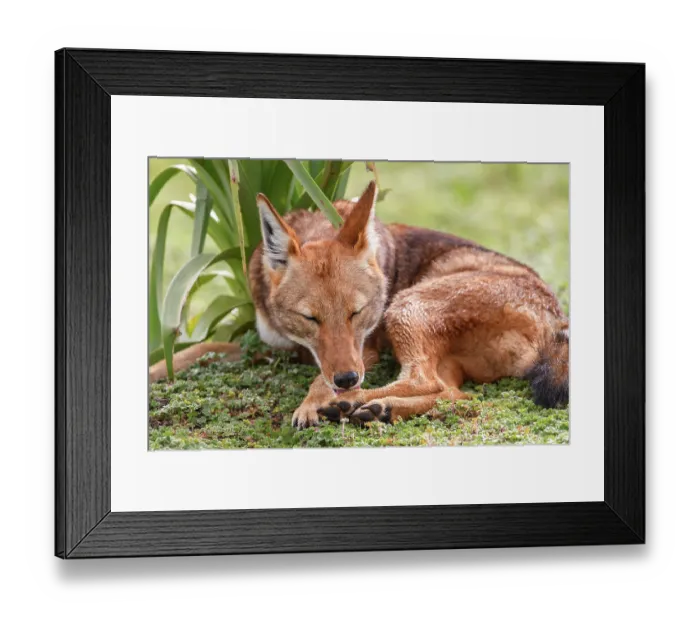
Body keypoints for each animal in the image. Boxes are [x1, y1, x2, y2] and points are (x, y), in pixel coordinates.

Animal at [150, 181, 569, 429]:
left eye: (357, 312)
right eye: (310, 319)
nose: (348, 378)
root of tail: (557, 321)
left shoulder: (364, 351)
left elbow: (321, 378)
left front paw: (312, 404)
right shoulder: (276, 348)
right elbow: (201, 348)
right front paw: (155, 370)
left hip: (405, 307)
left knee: (423, 381)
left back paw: (353, 405)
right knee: (454, 395)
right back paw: (376, 408)